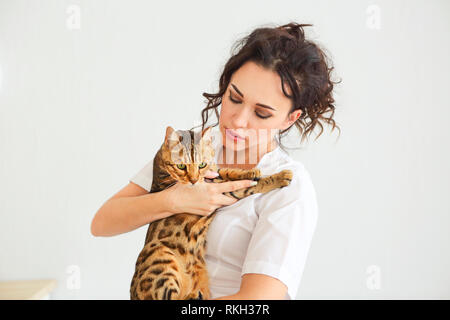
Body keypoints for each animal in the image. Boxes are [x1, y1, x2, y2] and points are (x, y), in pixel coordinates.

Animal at [128, 125, 294, 300]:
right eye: (181, 166)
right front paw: (278, 177)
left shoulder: (213, 174)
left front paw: (249, 172)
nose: (194, 181)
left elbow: (226, 171)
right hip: (161, 258)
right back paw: (194, 295)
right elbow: (247, 187)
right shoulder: (216, 189)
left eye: (201, 164)